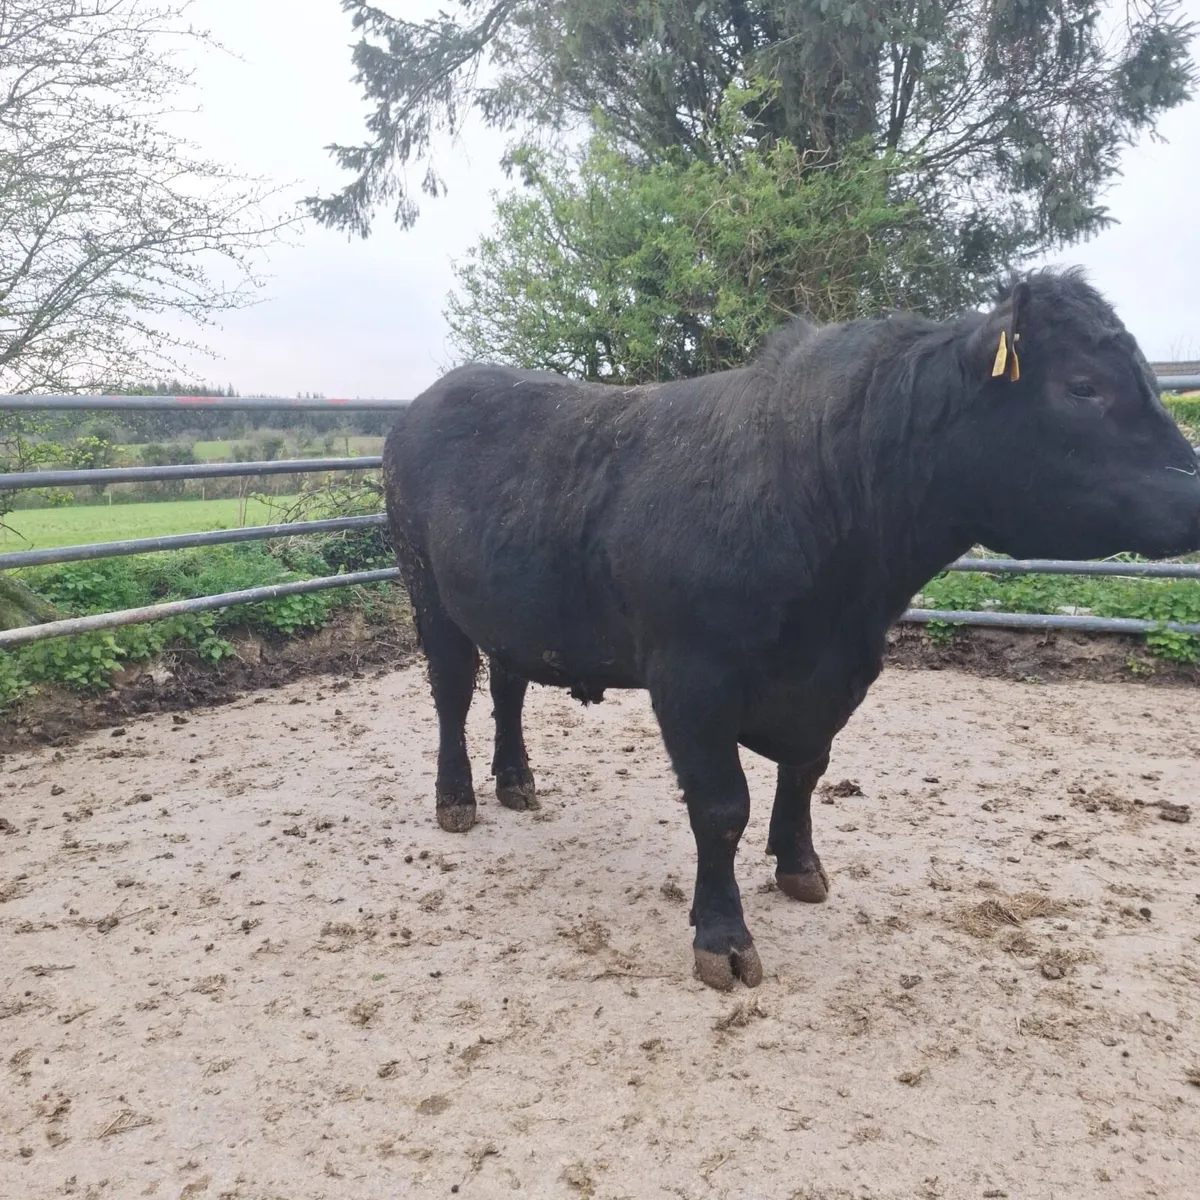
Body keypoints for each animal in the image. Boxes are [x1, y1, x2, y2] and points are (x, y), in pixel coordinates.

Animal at [383, 269, 1200, 991]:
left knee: (509, 687)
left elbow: (806, 771)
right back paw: (456, 799)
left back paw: (517, 782)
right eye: (1085, 387)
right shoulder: (691, 677)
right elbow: (722, 808)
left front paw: (800, 867)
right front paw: (723, 938)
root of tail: (432, 396)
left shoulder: (836, 675)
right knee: (453, 692)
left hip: (511, 608)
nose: (1196, 493)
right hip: (426, 587)